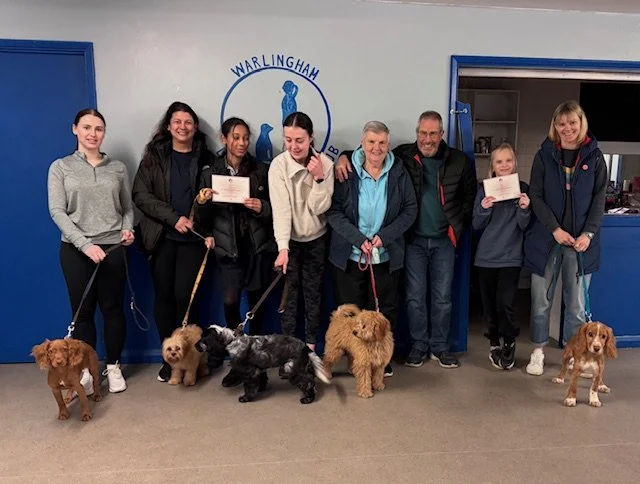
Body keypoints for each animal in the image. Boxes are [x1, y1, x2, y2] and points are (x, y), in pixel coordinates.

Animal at [196, 325, 331, 404]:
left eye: (203, 338)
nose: (195, 345)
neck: (232, 340)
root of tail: (304, 346)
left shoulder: (249, 372)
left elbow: (249, 386)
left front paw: (245, 398)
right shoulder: (259, 369)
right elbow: (261, 381)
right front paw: (260, 389)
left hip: (292, 368)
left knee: (308, 383)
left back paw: (308, 399)